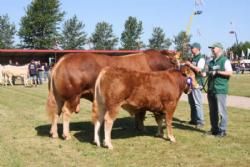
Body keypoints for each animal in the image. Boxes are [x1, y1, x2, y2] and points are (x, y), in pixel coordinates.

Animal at [47, 49, 180, 140]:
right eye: (175, 61)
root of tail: (62, 60)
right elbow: (142, 114)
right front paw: (142, 128)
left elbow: (139, 114)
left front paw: (139, 127)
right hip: (73, 96)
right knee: (66, 113)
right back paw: (66, 135)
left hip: (58, 97)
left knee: (55, 112)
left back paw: (54, 133)